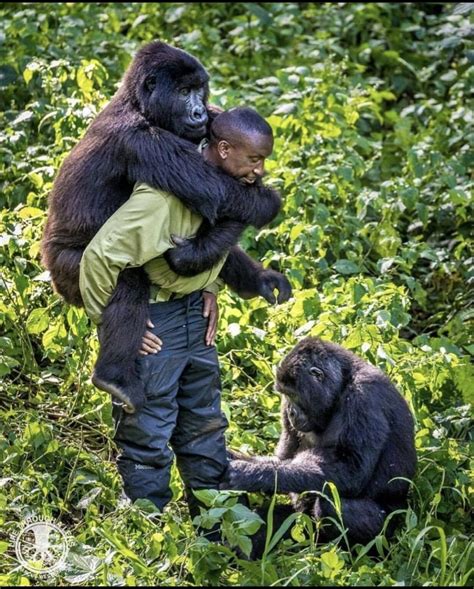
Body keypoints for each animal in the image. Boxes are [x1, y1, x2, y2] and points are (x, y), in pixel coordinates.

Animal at [41, 41, 292, 412]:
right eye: (184, 92)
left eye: (200, 90)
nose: (199, 113)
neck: (139, 105)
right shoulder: (141, 140)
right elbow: (218, 192)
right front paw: (267, 200)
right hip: (67, 275)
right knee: (125, 281)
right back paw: (114, 377)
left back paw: (255, 281)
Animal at [221, 336, 414, 552]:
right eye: (284, 395)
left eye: (292, 394)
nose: (290, 412)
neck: (342, 385)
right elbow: (282, 459)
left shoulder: (364, 396)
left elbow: (351, 471)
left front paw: (247, 474)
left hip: (391, 531)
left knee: (332, 504)